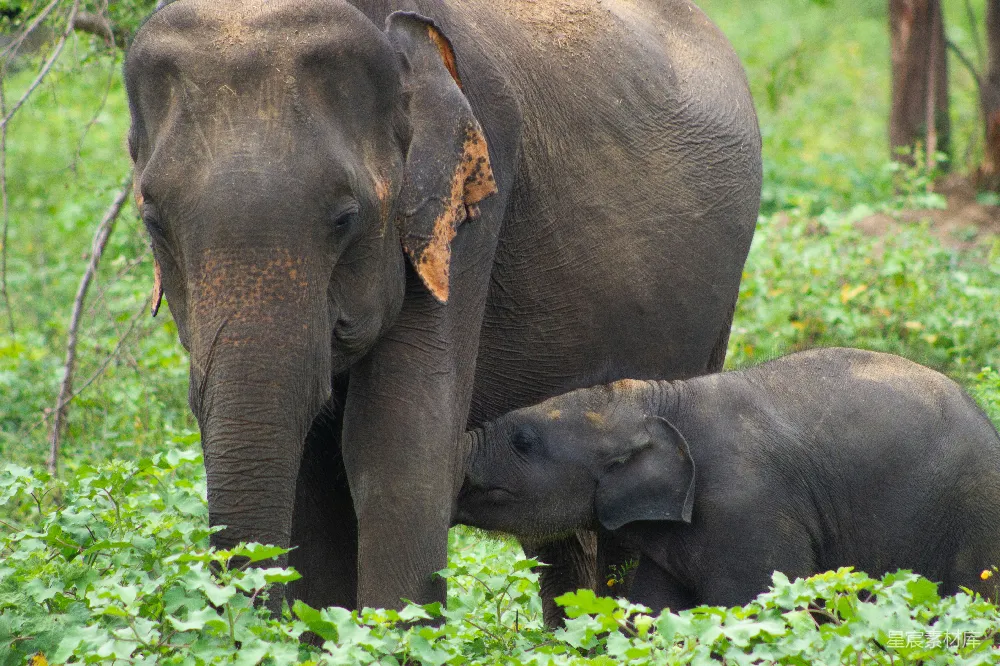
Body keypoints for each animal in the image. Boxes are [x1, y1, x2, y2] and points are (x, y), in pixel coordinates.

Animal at [456, 347, 1000, 610]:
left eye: (523, 440)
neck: (658, 400)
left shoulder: (749, 511)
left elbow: (753, 606)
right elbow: (656, 609)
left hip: (977, 519)